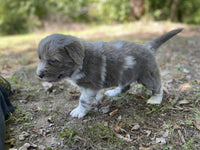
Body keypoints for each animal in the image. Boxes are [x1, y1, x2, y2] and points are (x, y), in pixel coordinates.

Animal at [36, 28, 183, 118]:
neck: (82, 61)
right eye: (39, 58)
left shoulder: (90, 85)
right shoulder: (90, 86)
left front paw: (79, 111)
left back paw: (155, 100)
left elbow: (83, 100)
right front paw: (97, 100)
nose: (38, 75)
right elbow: (94, 96)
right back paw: (113, 92)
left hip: (147, 75)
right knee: (126, 86)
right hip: (125, 74)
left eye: (53, 61)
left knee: (158, 86)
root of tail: (147, 46)